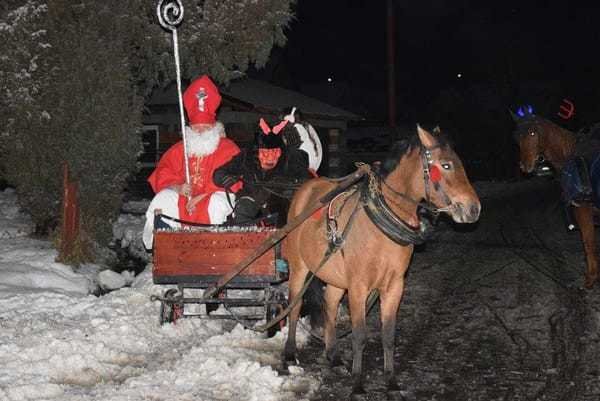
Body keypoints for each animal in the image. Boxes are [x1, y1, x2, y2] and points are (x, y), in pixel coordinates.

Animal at [282, 126, 482, 394]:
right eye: (446, 165)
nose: (473, 209)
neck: (380, 222)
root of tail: (305, 190)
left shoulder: (394, 285)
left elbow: (388, 334)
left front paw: (391, 380)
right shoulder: (358, 286)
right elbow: (359, 335)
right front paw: (357, 382)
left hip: (336, 277)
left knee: (330, 305)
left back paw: (333, 356)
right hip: (299, 268)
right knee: (294, 307)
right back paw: (289, 354)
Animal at [510, 109, 600, 288]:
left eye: (533, 133)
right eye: (516, 136)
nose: (524, 166)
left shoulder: (583, 209)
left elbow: (589, 243)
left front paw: (591, 278)